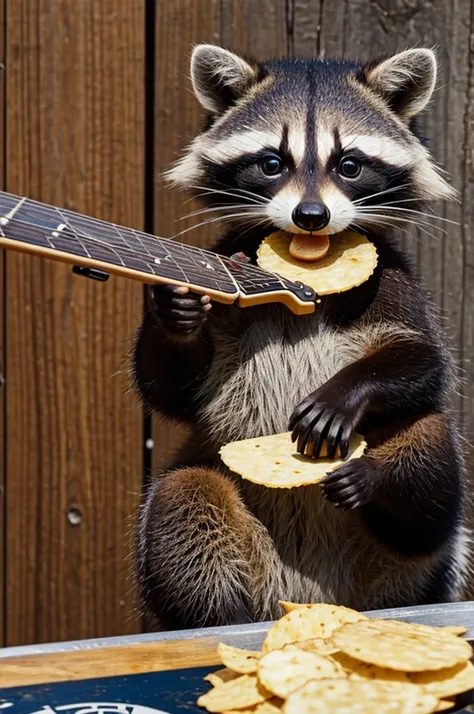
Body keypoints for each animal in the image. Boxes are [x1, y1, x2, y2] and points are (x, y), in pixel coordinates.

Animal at [132, 44, 470, 624]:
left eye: (349, 165)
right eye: (272, 163)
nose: (311, 216)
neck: (305, 274)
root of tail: (308, 594)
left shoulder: (394, 281)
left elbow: (425, 360)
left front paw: (346, 392)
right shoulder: (229, 267)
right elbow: (170, 388)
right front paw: (176, 314)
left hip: (412, 561)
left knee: (429, 438)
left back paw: (380, 482)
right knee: (184, 496)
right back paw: (217, 617)